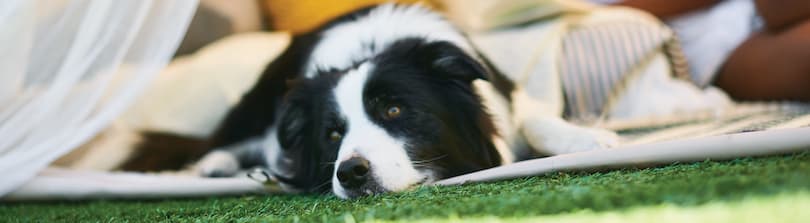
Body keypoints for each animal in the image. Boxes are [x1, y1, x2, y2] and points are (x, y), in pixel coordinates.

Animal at [194, 3, 620, 199]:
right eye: (333, 134)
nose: (350, 173)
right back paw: (215, 167)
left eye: (394, 109)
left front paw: (592, 139)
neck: (372, 47)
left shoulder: (508, 93)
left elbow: (532, 119)